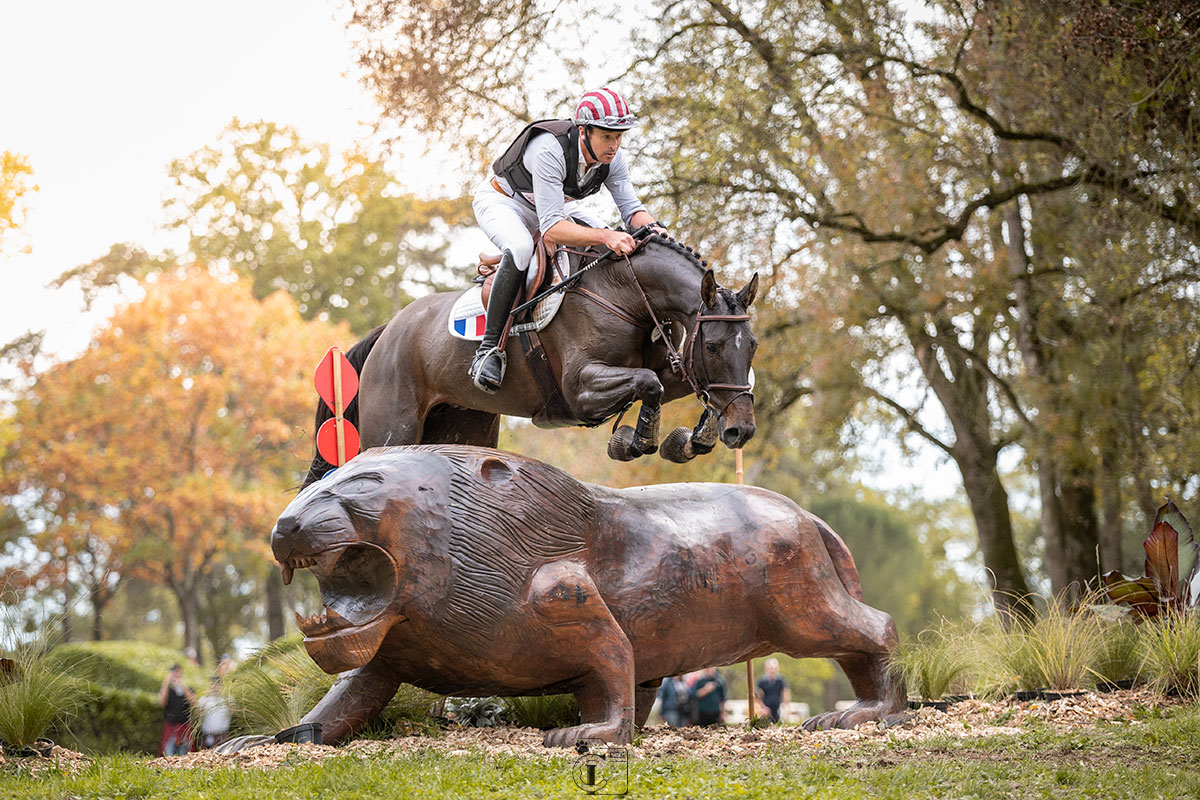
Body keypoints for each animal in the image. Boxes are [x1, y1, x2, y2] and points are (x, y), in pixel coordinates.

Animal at [309, 227, 758, 484]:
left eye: (752, 345)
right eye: (713, 346)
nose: (743, 431)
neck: (625, 293)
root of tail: (389, 331)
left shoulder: (669, 369)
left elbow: (683, 385)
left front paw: (696, 438)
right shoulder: (580, 390)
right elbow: (649, 384)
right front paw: (635, 441)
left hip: (461, 428)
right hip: (393, 429)